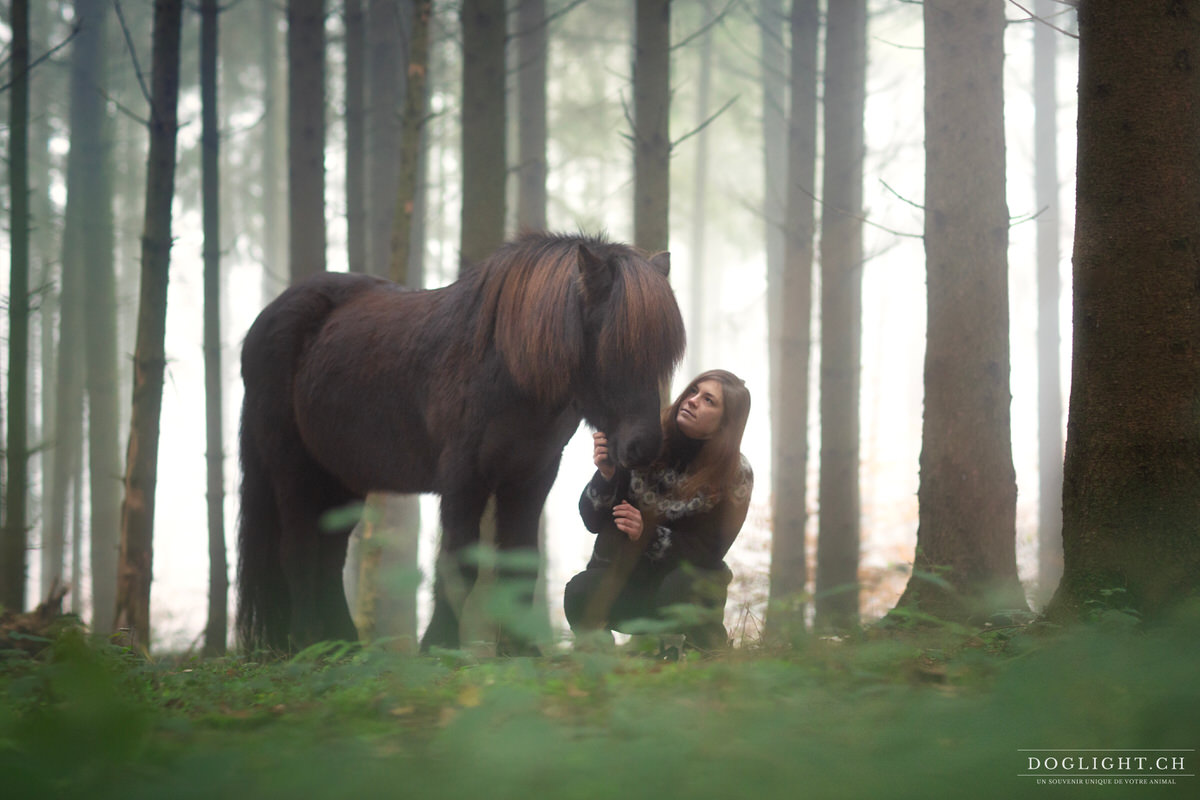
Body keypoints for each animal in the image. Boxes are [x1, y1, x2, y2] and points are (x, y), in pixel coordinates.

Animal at [237, 232, 686, 657]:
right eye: (613, 347)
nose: (644, 446)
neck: (507, 364)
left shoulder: (531, 477)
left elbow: (520, 560)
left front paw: (521, 649)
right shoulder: (462, 478)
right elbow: (457, 562)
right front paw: (440, 646)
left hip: (341, 479)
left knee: (330, 557)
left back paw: (342, 646)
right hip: (292, 469)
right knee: (297, 550)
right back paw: (307, 642)